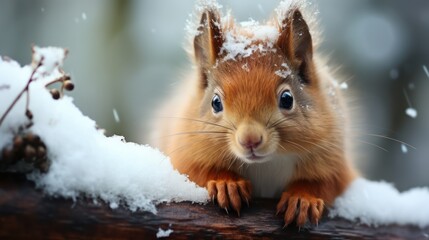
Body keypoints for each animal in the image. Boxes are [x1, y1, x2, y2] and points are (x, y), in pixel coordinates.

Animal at [149, 0, 356, 227]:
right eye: (215, 103)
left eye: (287, 99)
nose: (250, 140)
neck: (266, 163)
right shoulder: (185, 153)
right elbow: (197, 170)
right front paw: (226, 184)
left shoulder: (334, 158)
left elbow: (326, 182)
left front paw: (303, 198)